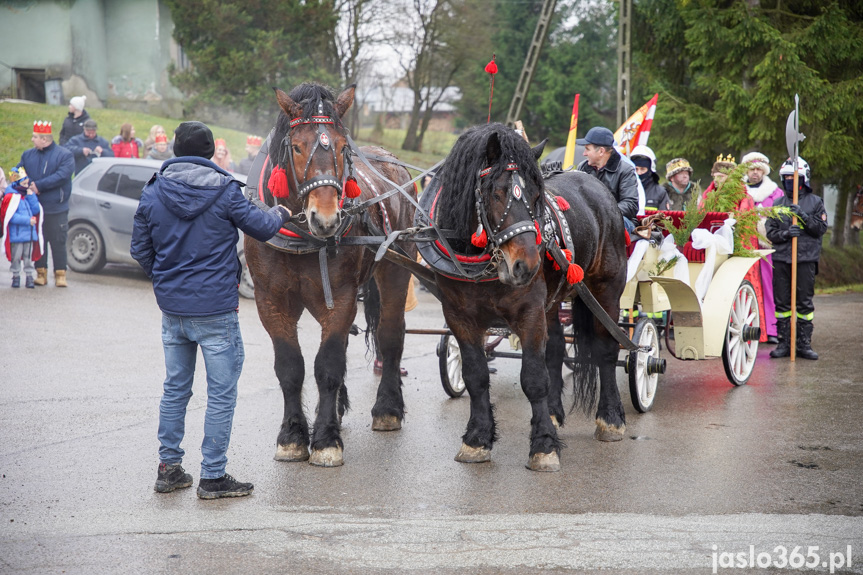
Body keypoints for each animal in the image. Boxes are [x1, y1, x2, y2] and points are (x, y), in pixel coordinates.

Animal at [245, 82, 416, 468]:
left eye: (341, 147)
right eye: (296, 146)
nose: (326, 219)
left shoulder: (340, 298)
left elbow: (328, 366)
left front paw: (324, 439)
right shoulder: (270, 300)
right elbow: (290, 367)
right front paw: (293, 436)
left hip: (397, 269)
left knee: (391, 334)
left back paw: (388, 408)